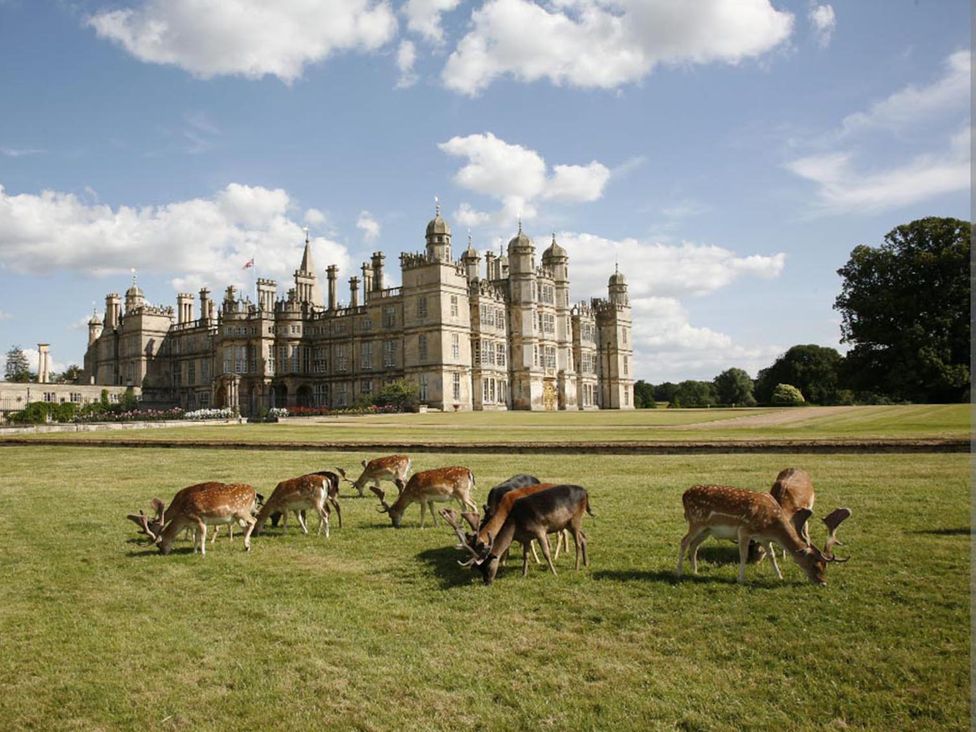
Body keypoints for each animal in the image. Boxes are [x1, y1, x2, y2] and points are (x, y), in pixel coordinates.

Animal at [127, 482, 258, 556]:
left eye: (159, 545)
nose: (163, 553)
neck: (184, 515)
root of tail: (254, 491)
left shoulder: (200, 519)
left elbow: (202, 537)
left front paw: (203, 553)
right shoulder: (194, 524)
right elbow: (197, 538)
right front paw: (195, 551)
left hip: (242, 511)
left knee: (253, 521)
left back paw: (247, 545)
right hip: (236, 516)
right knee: (245, 526)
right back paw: (247, 547)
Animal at [448, 484, 593, 585]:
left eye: (488, 566)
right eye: (480, 569)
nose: (487, 582)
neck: (516, 525)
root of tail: (585, 492)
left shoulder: (540, 530)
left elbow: (546, 553)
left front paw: (554, 573)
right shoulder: (526, 538)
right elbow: (526, 555)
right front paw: (524, 573)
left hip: (575, 519)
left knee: (577, 542)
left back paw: (576, 567)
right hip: (569, 523)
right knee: (583, 537)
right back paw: (586, 563)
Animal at [675, 484, 851, 585]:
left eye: (825, 566)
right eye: (815, 564)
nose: (823, 583)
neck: (770, 525)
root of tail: (684, 495)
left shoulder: (764, 538)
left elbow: (772, 555)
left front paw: (780, 576)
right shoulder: (744, 530)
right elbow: (744, 555)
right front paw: (741, 579)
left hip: (707, 530)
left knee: (694, 545)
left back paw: (695, 571)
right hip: (696, 522)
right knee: (684, 541)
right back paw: (679, 572)